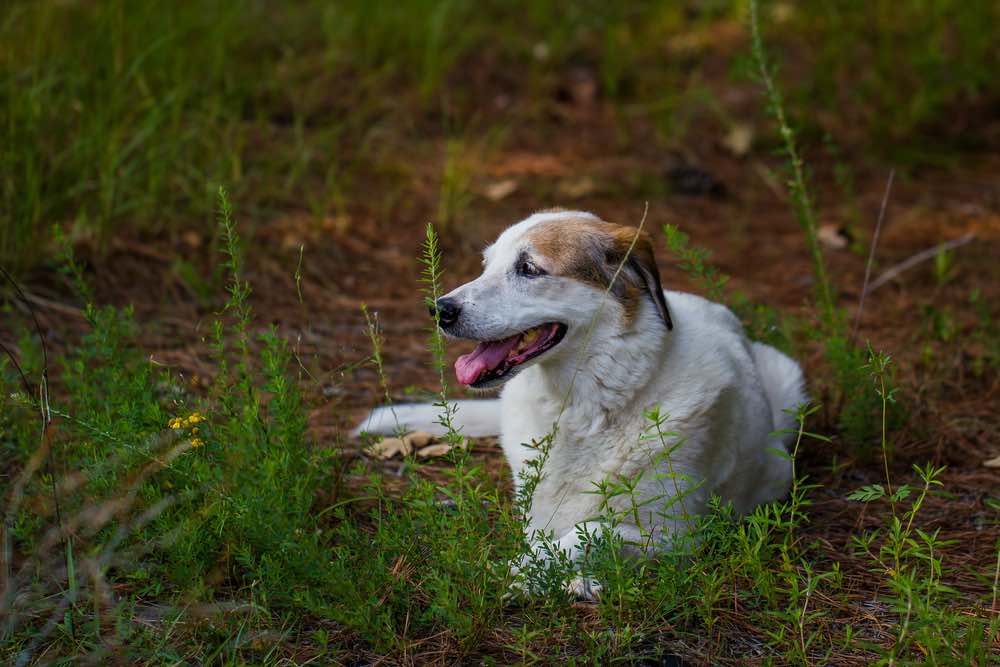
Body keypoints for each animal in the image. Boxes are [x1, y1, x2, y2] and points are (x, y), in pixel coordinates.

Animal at [356, 209, 808, 600]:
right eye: (486, 266)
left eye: (529, 269)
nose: (439, 310)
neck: (579, 408)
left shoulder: (678, 534)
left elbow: (589, 531)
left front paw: (528, 574)